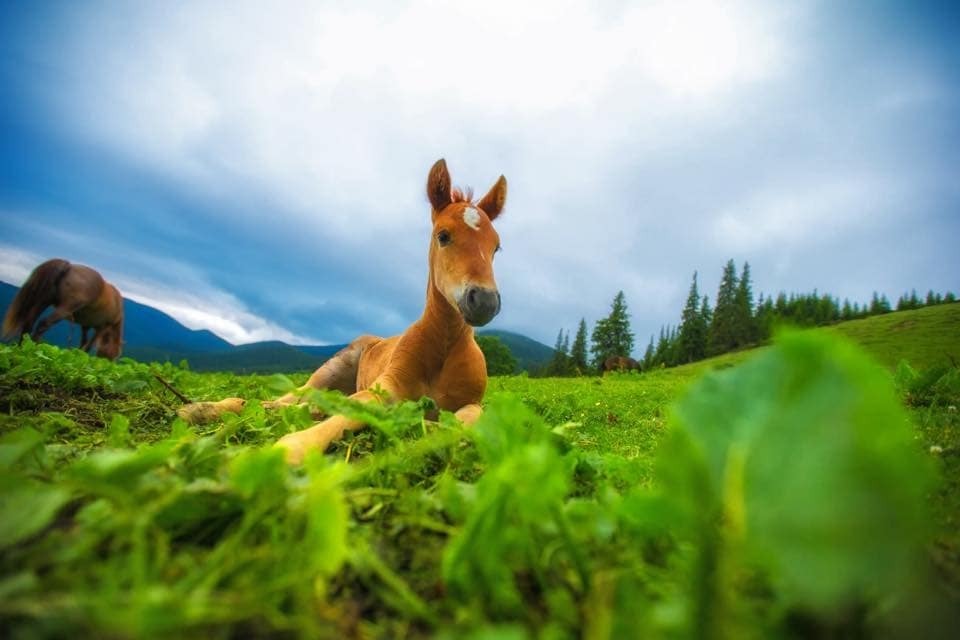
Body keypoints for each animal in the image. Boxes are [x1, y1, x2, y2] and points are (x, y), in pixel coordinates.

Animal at [201, 158, 502, 462]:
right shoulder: (385, 387)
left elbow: (465, 421)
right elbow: (350, 412)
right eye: (443, 236)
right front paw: (289, 451)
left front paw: (429, 432)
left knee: (306, 403)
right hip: (329, 372)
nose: (485, 301)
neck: (445, 344)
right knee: (288, 398)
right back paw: (210, 408)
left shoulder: (473, 402)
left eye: (496, 247)